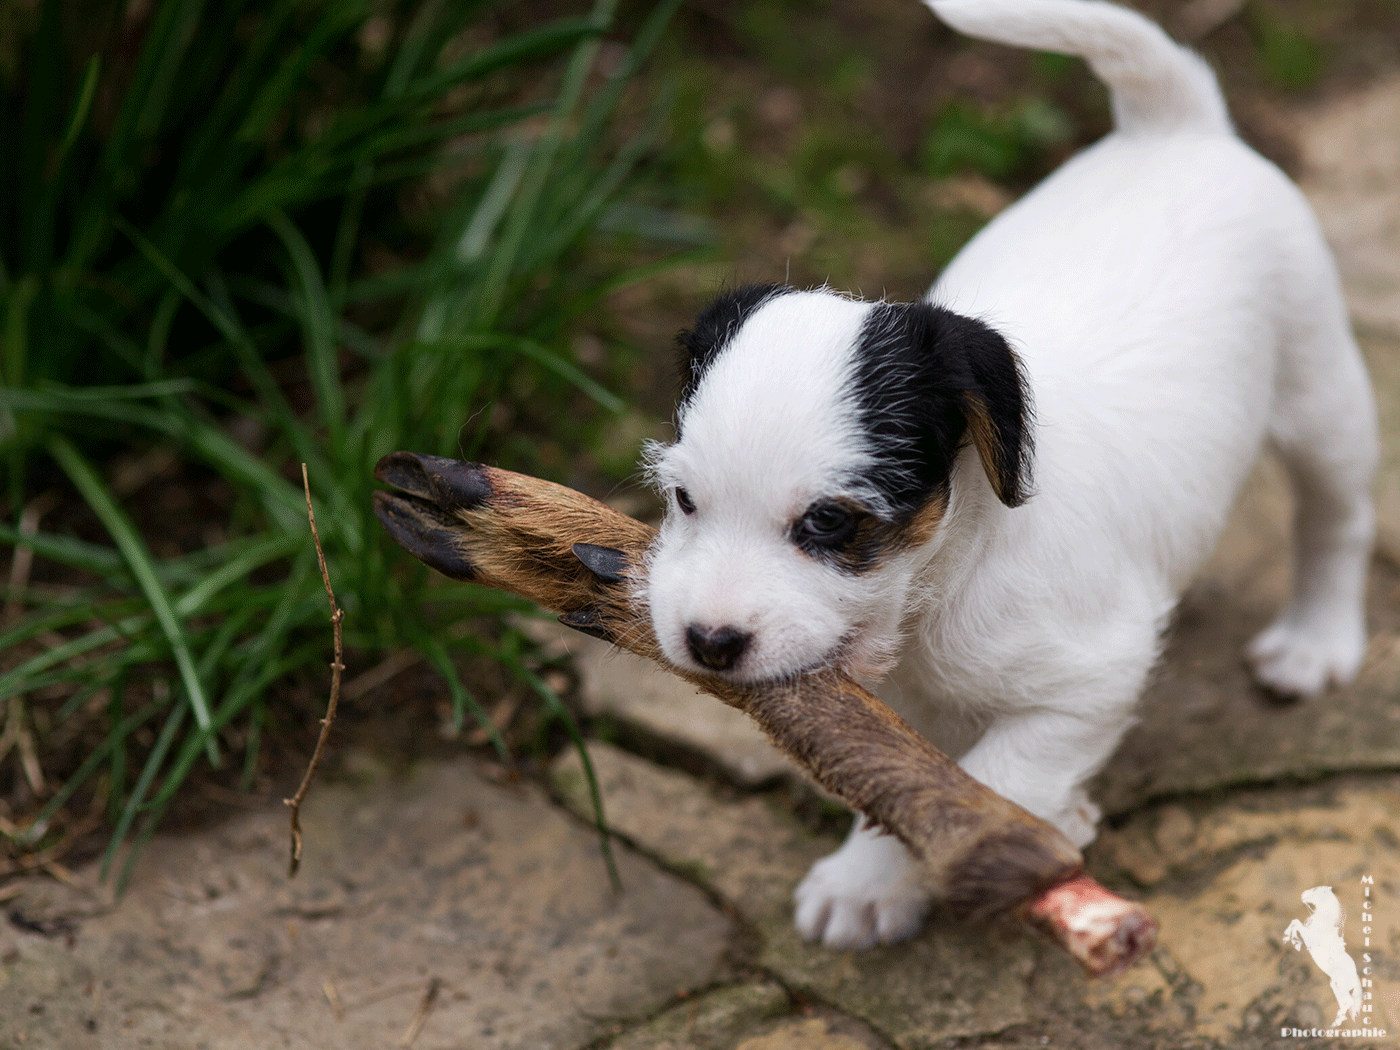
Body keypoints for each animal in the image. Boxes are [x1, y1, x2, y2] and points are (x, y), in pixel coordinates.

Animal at [641, 0, 1377, 952]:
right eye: (684, 500)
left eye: (831, 522)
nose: (708, 641)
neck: (937, 583)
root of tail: (1172, 123)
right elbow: (901, 775)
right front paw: (869, 877)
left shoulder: (1090, 681)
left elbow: (984, 782)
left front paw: (996, 843)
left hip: (1321, 388)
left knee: (1336, 515)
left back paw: (1317, 640)